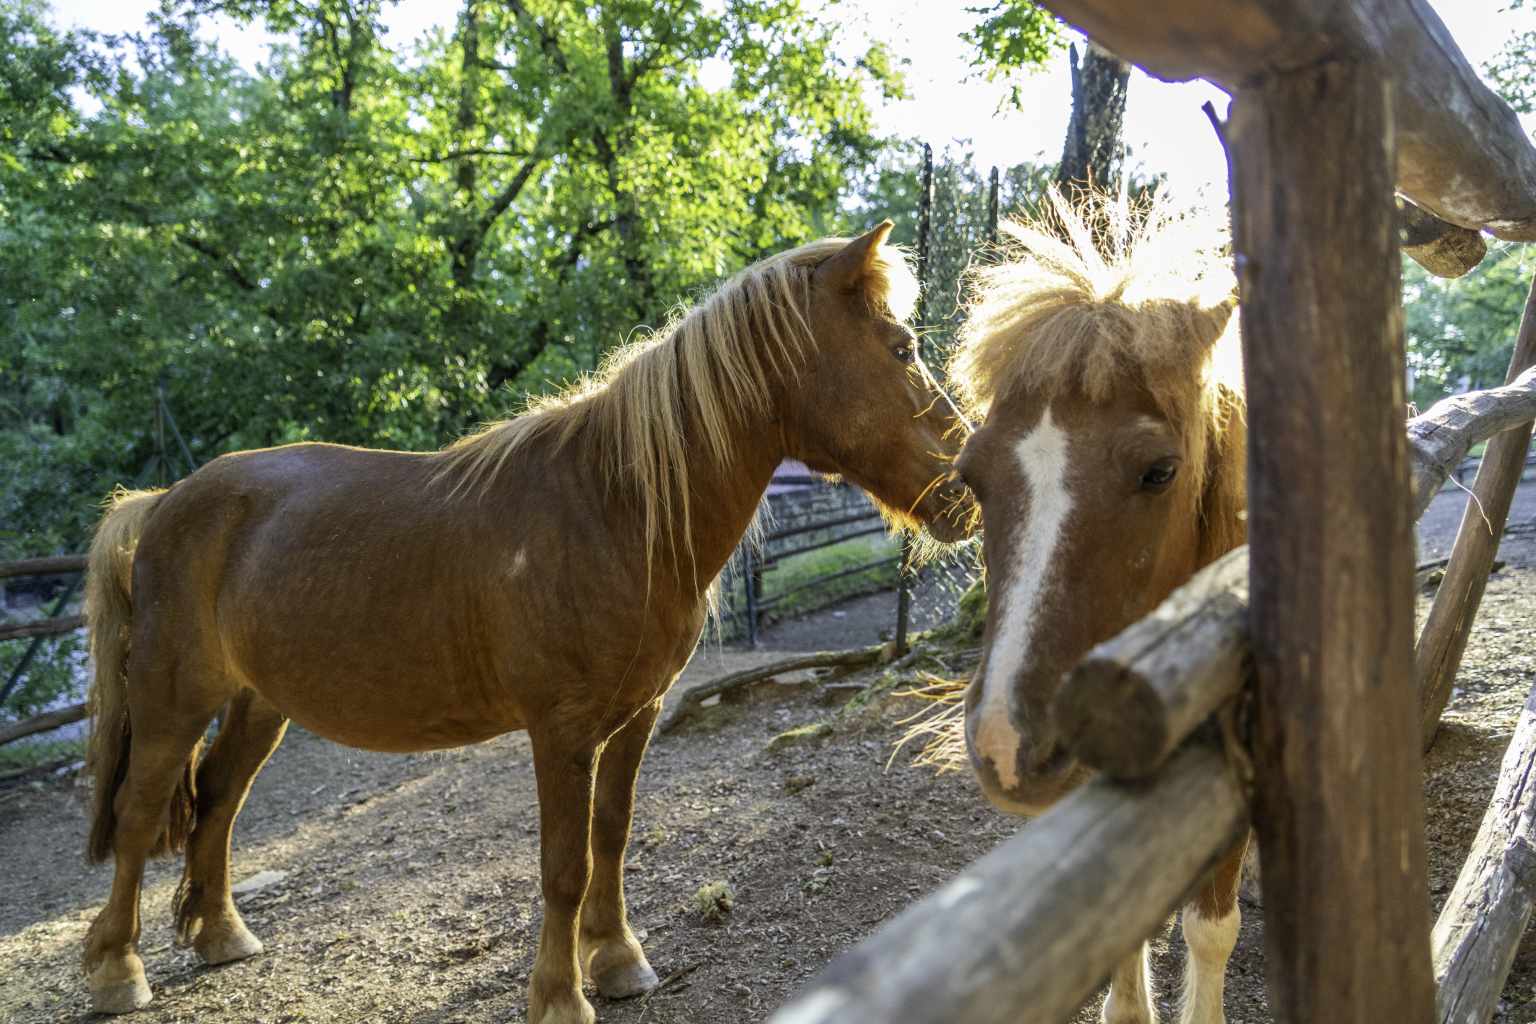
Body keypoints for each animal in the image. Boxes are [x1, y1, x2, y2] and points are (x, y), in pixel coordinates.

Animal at [79, 223, 975, 1024]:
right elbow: (563, 865)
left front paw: (617, 961)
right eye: (902, 349)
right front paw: (560, 996)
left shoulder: (637, 717)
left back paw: (221, 935)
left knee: (219, 800)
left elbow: (611, 836)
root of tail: (163, 502)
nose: (968, 483)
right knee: (139, 814)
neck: (616, 510)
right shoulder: (562, 730)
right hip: (172, 700)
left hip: (259, 704)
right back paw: (117, 971)